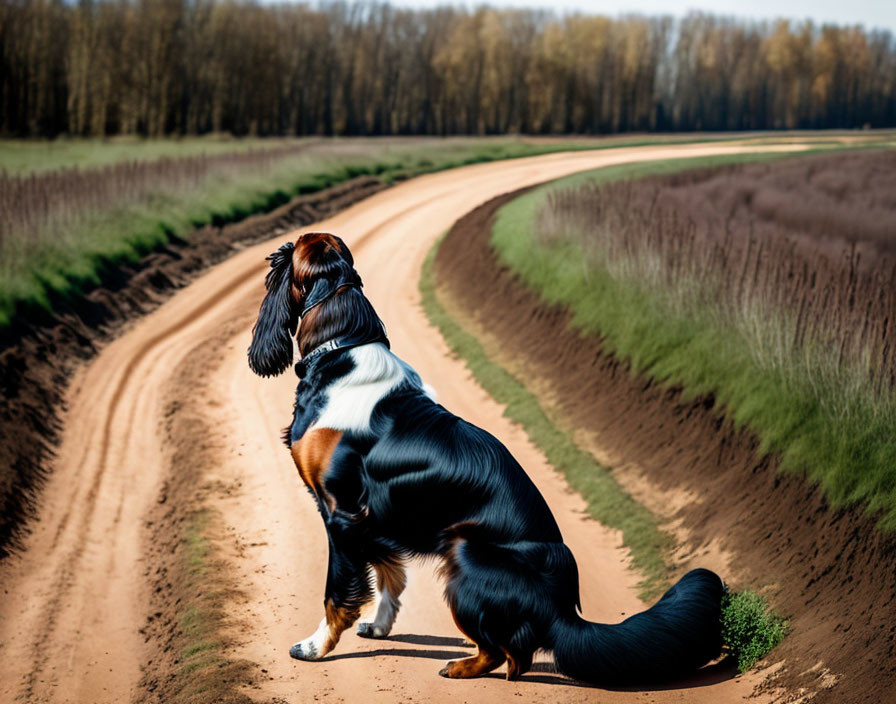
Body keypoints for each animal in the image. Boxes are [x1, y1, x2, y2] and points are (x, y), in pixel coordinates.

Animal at [248, 234, 724, 684]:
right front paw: (379, 625)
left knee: (510, 654)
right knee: (515, 653)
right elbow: (388, 573)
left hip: (463, 551)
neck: (340, 349)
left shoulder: (341, 512)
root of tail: (561, 608)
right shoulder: (371, 515)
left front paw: (314, 647)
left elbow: (338, 591)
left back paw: (460, 665)